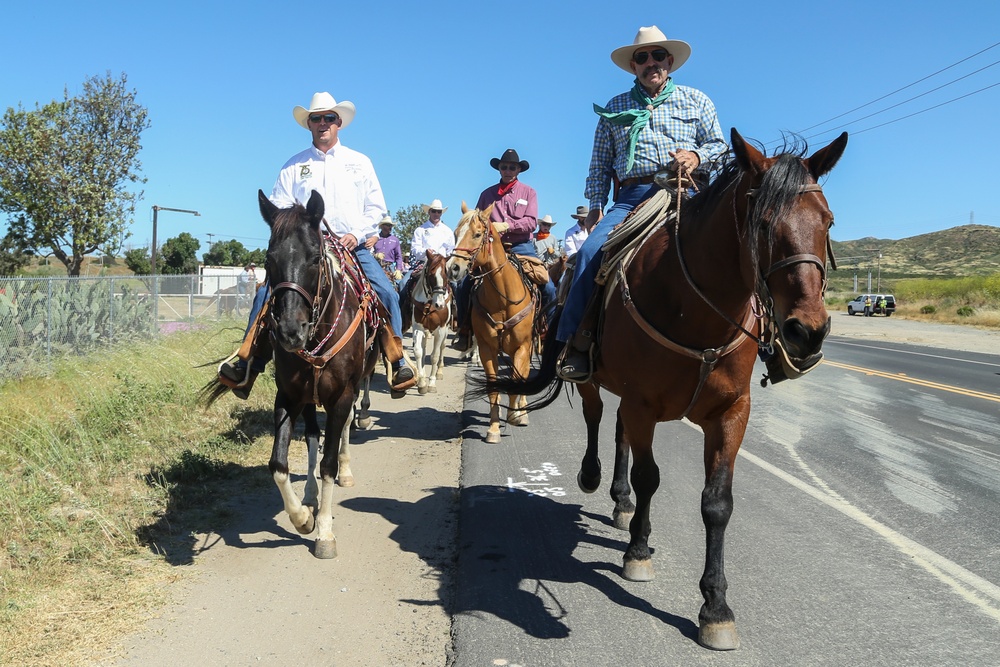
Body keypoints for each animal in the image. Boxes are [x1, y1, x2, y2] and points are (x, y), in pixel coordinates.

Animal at [202, 190, 378, 560]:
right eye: (269, 260)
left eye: (314, 258)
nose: (289, 332)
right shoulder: (288, 395)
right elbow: (279, 465)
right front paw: (302, 518)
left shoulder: (341, 395)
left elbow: (328, 463)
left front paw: (324, 532)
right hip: (310, 397)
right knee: (311, 435)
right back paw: (310, 495)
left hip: (353, 386)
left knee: (342, 431)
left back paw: (345, 471)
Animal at [406, 250, 454, 396]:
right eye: (431, 275)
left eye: (445, 274)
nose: (440, 305)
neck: (429, 303)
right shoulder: (418, 328)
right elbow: (418, 352)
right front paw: (422, 382)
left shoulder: (440, 330)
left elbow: (434, 356)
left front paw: (432, 383)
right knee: (424, 348)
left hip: (445, 330)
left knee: (442, 348)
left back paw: (439, 372)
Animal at [448, 204, 540, 444]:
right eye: (456, 233)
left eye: (477, 234)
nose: (452, 268)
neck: (503, 299)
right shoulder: (487, 348)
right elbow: (492, 386)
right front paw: (494, 428)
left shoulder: (521, 347)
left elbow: (517, 379)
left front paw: (515, 415)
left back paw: (522, 410)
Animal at [480, 128, 848, 648]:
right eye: (762, 224)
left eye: (827, 221)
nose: (807, 332)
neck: (695, 309)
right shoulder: (643, 404)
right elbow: (649, 477)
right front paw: (638, 551)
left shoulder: (731, 413)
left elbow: (717, 503)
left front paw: (715, 607)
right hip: (595, 381)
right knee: (597, 419)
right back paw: (595, 479)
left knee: (618, 434)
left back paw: (620, 503)